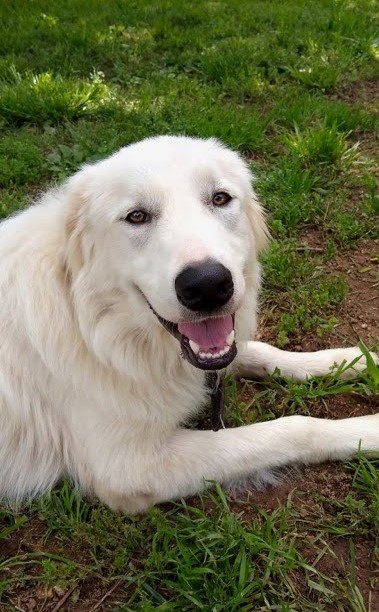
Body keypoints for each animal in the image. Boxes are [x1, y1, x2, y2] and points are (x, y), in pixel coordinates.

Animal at [0, 136, 378, 512]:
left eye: (220, 198)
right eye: (137, 216)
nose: (207, 285)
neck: (94, 326)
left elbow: (266, 353)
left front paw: (355, 360)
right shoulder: (128, 469)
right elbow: (295, 428)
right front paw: (368, 431)